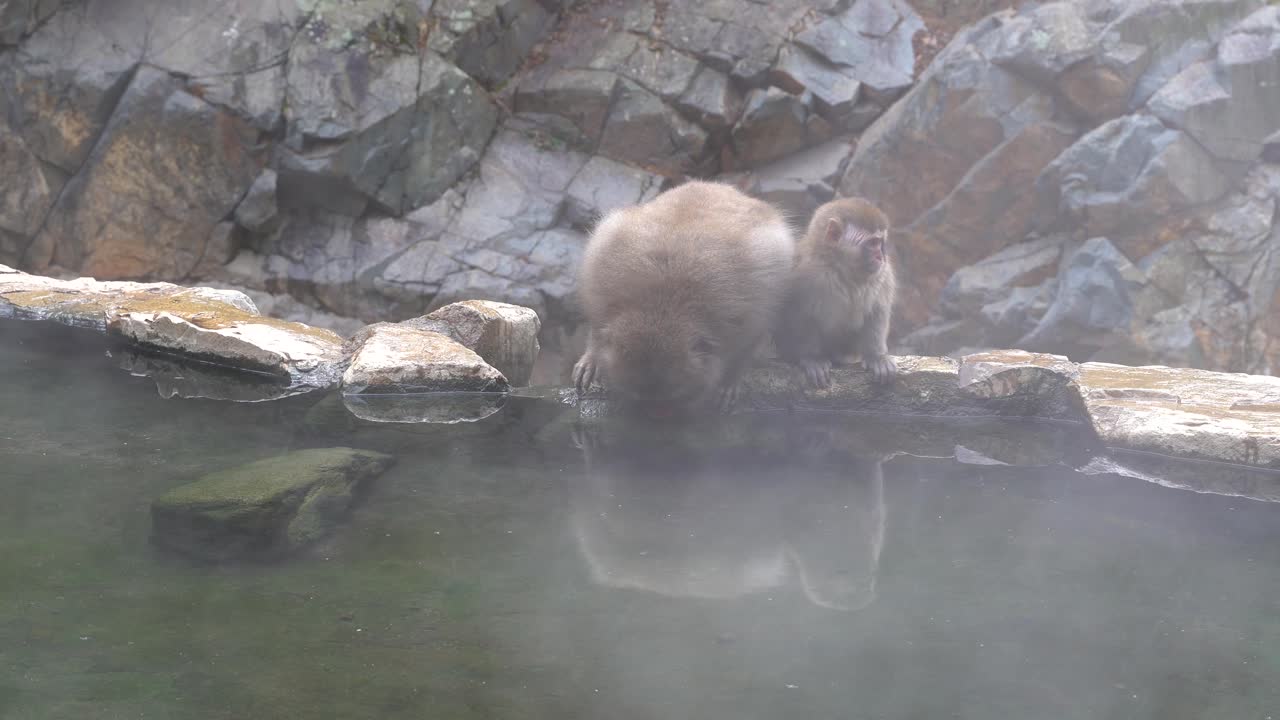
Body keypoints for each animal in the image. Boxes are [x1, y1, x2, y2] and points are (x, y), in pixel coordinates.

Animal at [572, 180, 795, 418]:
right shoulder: (601, 276)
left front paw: (730, 379)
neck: (660, 306)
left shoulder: (752, 308)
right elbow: (597, 326)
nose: (655, 417)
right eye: (639, 397)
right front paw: (593, 358)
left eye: (673, 398)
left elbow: (749, 339)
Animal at [773, 197, 896, 389]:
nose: (880, 257)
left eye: (880, 243)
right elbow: (800, 314)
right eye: (872, 243)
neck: (843, 270)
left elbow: (877, 312)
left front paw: (876, 356)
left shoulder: (884, 275)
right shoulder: (803, 273)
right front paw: (812, 358)